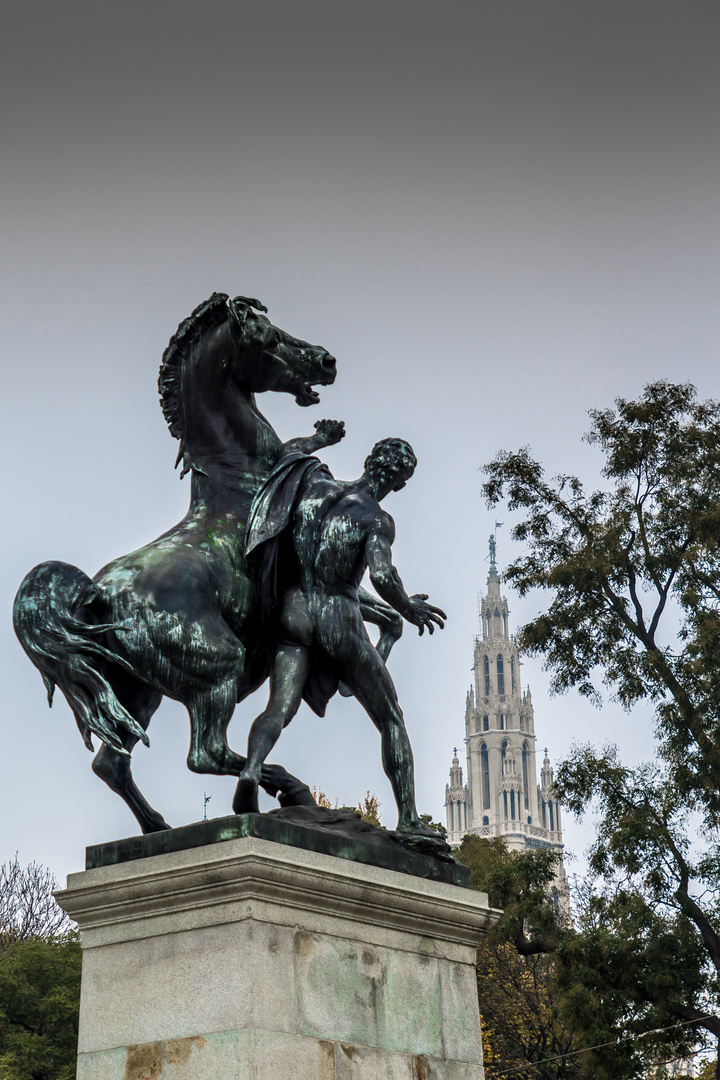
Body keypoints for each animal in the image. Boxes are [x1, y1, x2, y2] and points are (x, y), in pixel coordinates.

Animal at [15, 291, 343, 829]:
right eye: (271, 338)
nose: (326, 360)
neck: (240, 477)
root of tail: (95, 592)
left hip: (136, 690)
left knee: (111, 761)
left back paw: (157, 826)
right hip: (218, 667)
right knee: (205, 754)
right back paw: (285, 791)